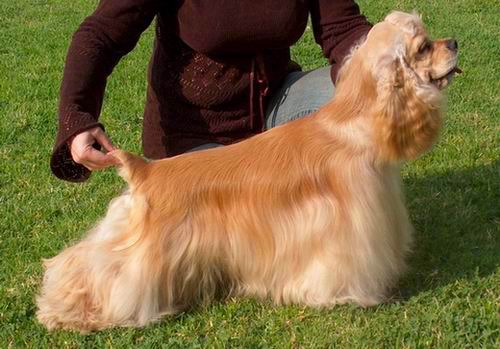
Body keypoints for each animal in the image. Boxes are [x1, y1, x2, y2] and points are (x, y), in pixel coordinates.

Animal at [38, 11, 460, 332]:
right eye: (423, 46)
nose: (454, 42)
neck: (355, 122)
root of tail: (144, 170)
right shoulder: (350, 227)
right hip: (139, 261)